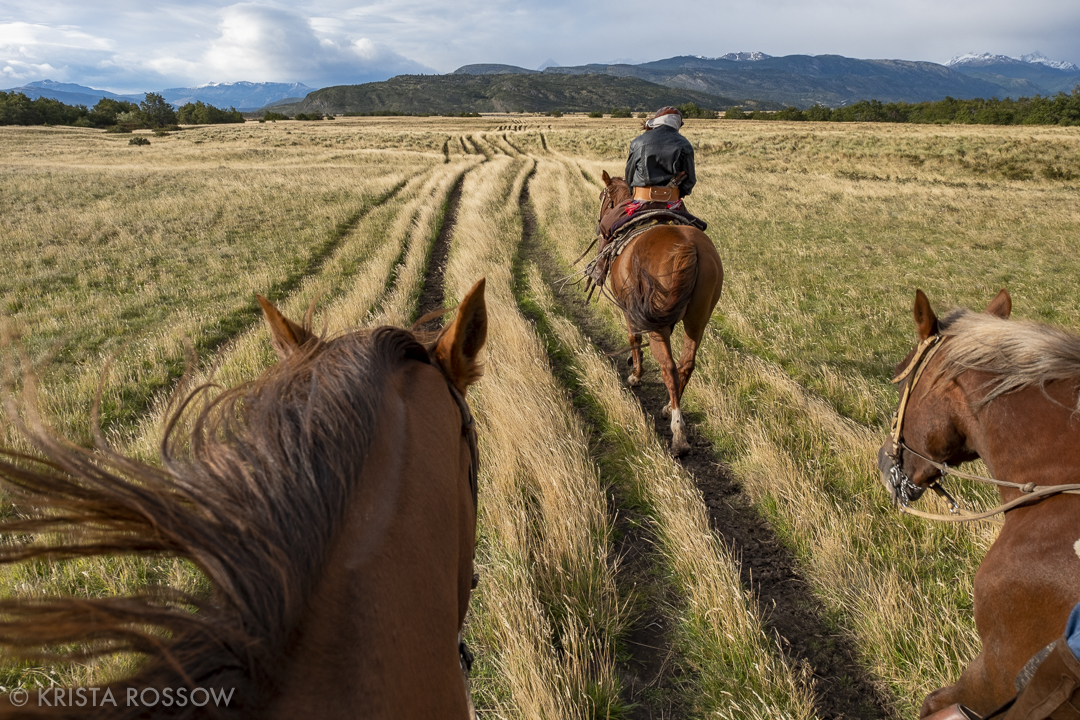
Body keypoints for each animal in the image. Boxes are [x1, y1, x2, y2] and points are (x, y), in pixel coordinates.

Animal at [596, 171, 723, 454]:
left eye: (603, 198)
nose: (599, 224)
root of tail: (688, 246)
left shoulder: (629, 311)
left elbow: (634, 338)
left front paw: (635, 374)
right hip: (697, 319)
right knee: (686, 364)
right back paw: (668, 408)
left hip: (659, 325)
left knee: (669, 366)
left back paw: (678, 434)